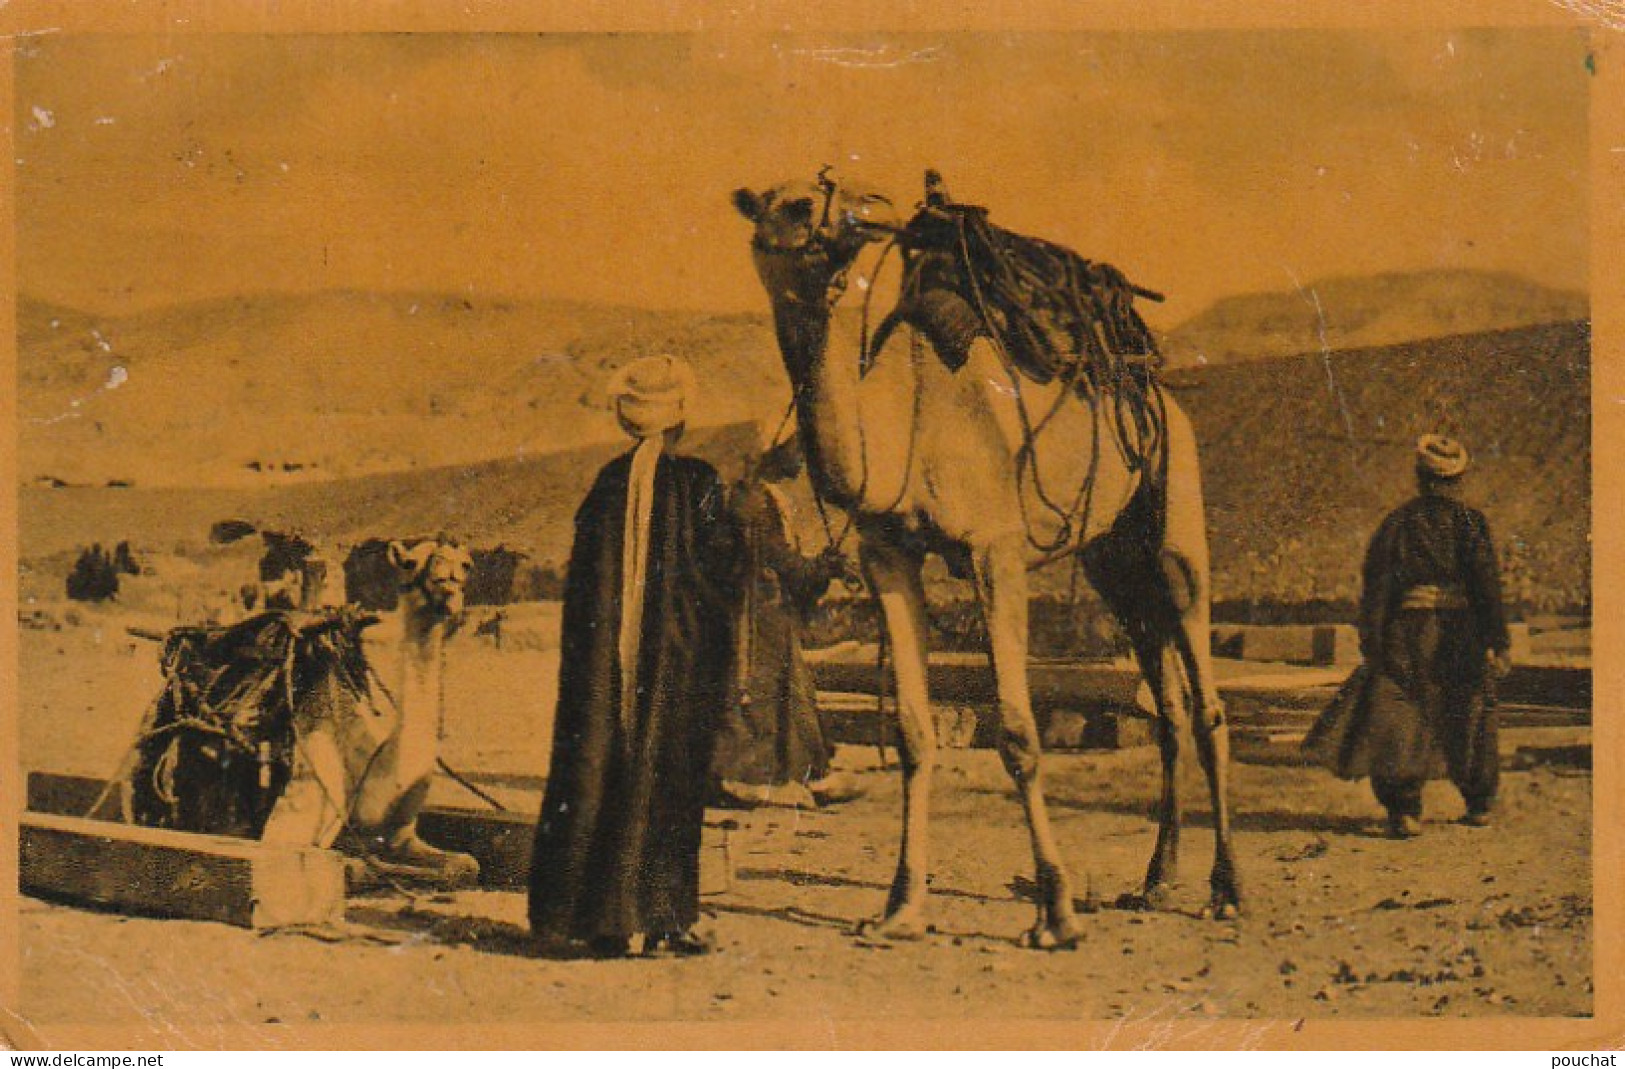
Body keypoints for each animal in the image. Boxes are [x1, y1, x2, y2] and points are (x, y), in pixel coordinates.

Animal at [737, 177, 1241, 948]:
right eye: (792, 203)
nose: (871, 206)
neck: (905, 423)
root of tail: (1151, 385)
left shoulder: (993, 547)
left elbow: (1017, 732)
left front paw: (1056, 912)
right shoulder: (887, 555)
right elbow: (913, 735)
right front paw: (899, 908)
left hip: (1174, 515)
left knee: (1207, 698)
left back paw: (1225, 890)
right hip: (1114, 559)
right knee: (1168, 707)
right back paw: (1156, 879)